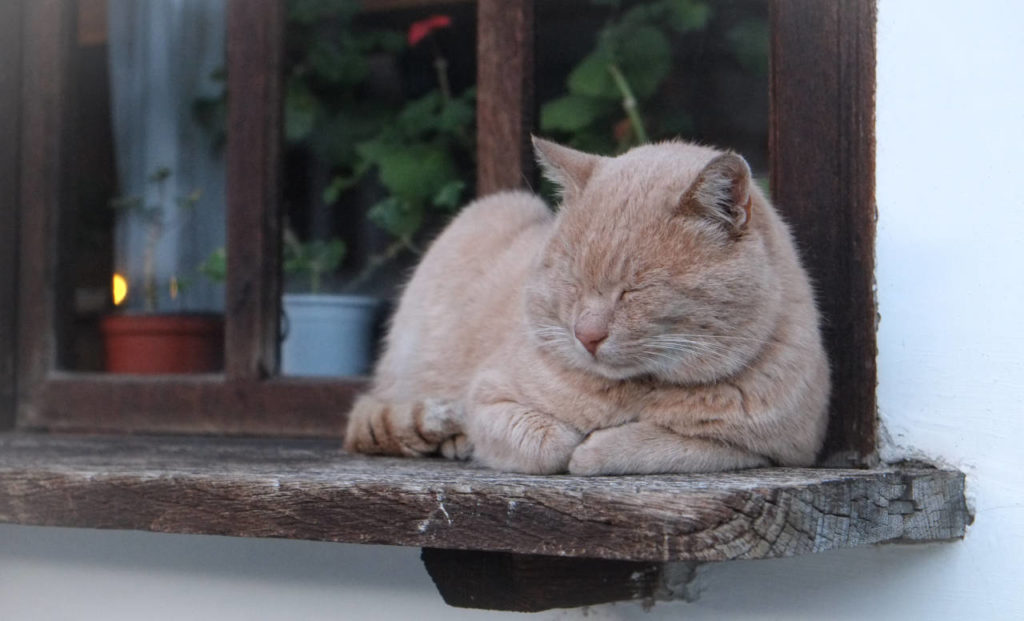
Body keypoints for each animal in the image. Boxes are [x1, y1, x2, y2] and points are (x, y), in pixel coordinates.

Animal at [346, 138, 831, 475]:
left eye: (634, 290)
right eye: (573, 282)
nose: (587, 335)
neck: (638, 389)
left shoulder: (777, 451)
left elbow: (660, 445)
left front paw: (598, 446)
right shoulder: (488, 398)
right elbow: (547, 441)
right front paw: (567, 442)